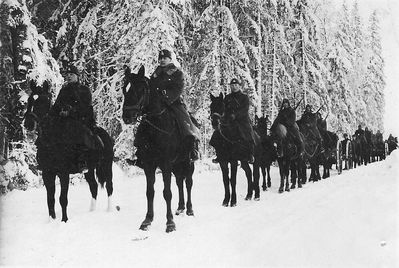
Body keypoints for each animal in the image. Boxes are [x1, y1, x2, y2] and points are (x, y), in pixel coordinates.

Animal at [23, 80, 114, 222]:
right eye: (29, 100)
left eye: (43, 101)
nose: (28, 124)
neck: (51, 141)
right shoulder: (47, 173)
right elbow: (50, 199)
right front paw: (51, 220)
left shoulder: (63, 173)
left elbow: (62, 199)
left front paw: (64, 220)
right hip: (89, 170)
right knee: (93, 187)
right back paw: (91, 211)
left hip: (106, 165)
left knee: (109, 186)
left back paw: (109, 210)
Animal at [122, 65, 196, 232]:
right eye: (124, 89)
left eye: (141, 89)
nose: (127, 117)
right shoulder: (149, 164)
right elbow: (150, 192)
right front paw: (147, 220)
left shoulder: (166, 164)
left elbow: (167, 193)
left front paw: (170, 223)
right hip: (177, 165)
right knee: (180, 182)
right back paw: (180, 208)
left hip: (188, 163)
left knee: (188, 183)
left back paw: (189, 209)